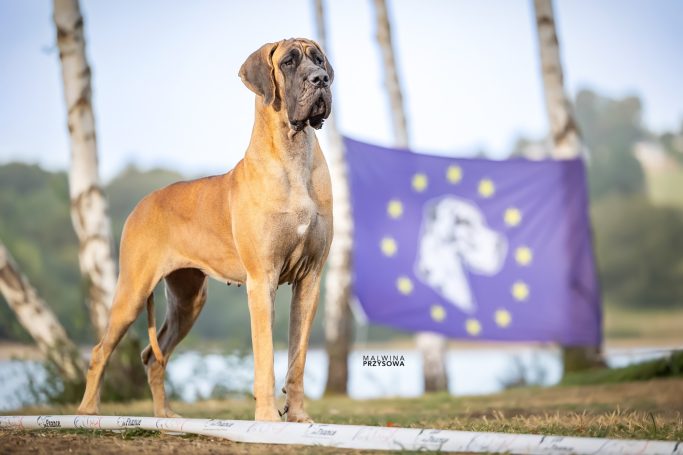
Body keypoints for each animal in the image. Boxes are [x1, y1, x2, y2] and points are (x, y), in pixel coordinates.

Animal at [77, 39, 334, 424]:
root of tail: (143, 202)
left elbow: (298, 358)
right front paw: (267, 417)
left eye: (319, 60)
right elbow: (265, 356)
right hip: (132, 292)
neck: (294, 155)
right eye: (289, 62)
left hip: (188, 300)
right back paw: (88, 410)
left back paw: (165, 416)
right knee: (99, 350)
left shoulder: (310, 279)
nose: (320, 79)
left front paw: (300, 417)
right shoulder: (263, 280)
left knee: (153, 356)